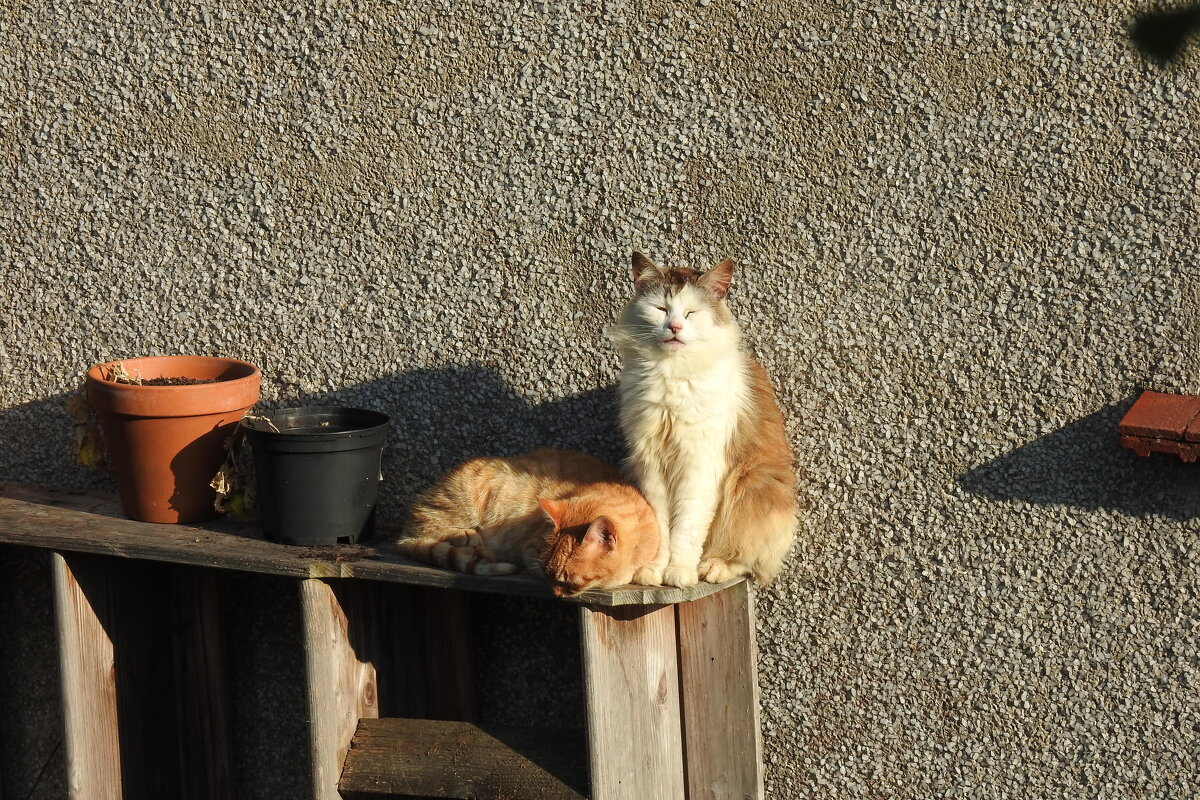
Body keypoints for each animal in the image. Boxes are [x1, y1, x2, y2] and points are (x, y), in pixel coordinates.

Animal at [396, 448, 662, 597]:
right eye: (547, 574)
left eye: (567, 582)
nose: (555, 595)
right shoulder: (530, 553)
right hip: (467, 495)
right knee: (424, 527)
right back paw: (472, 542)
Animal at [609, 251, 796, 587]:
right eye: (661, 309)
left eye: (691, 313)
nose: (674, 327)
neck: (671, 373)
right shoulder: (651, 465)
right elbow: (662, 527)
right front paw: (654, 570)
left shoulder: (699, 465)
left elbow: (686, 528)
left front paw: (680, 572)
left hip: (753, 487)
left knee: (747, 560)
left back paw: (712, 567)